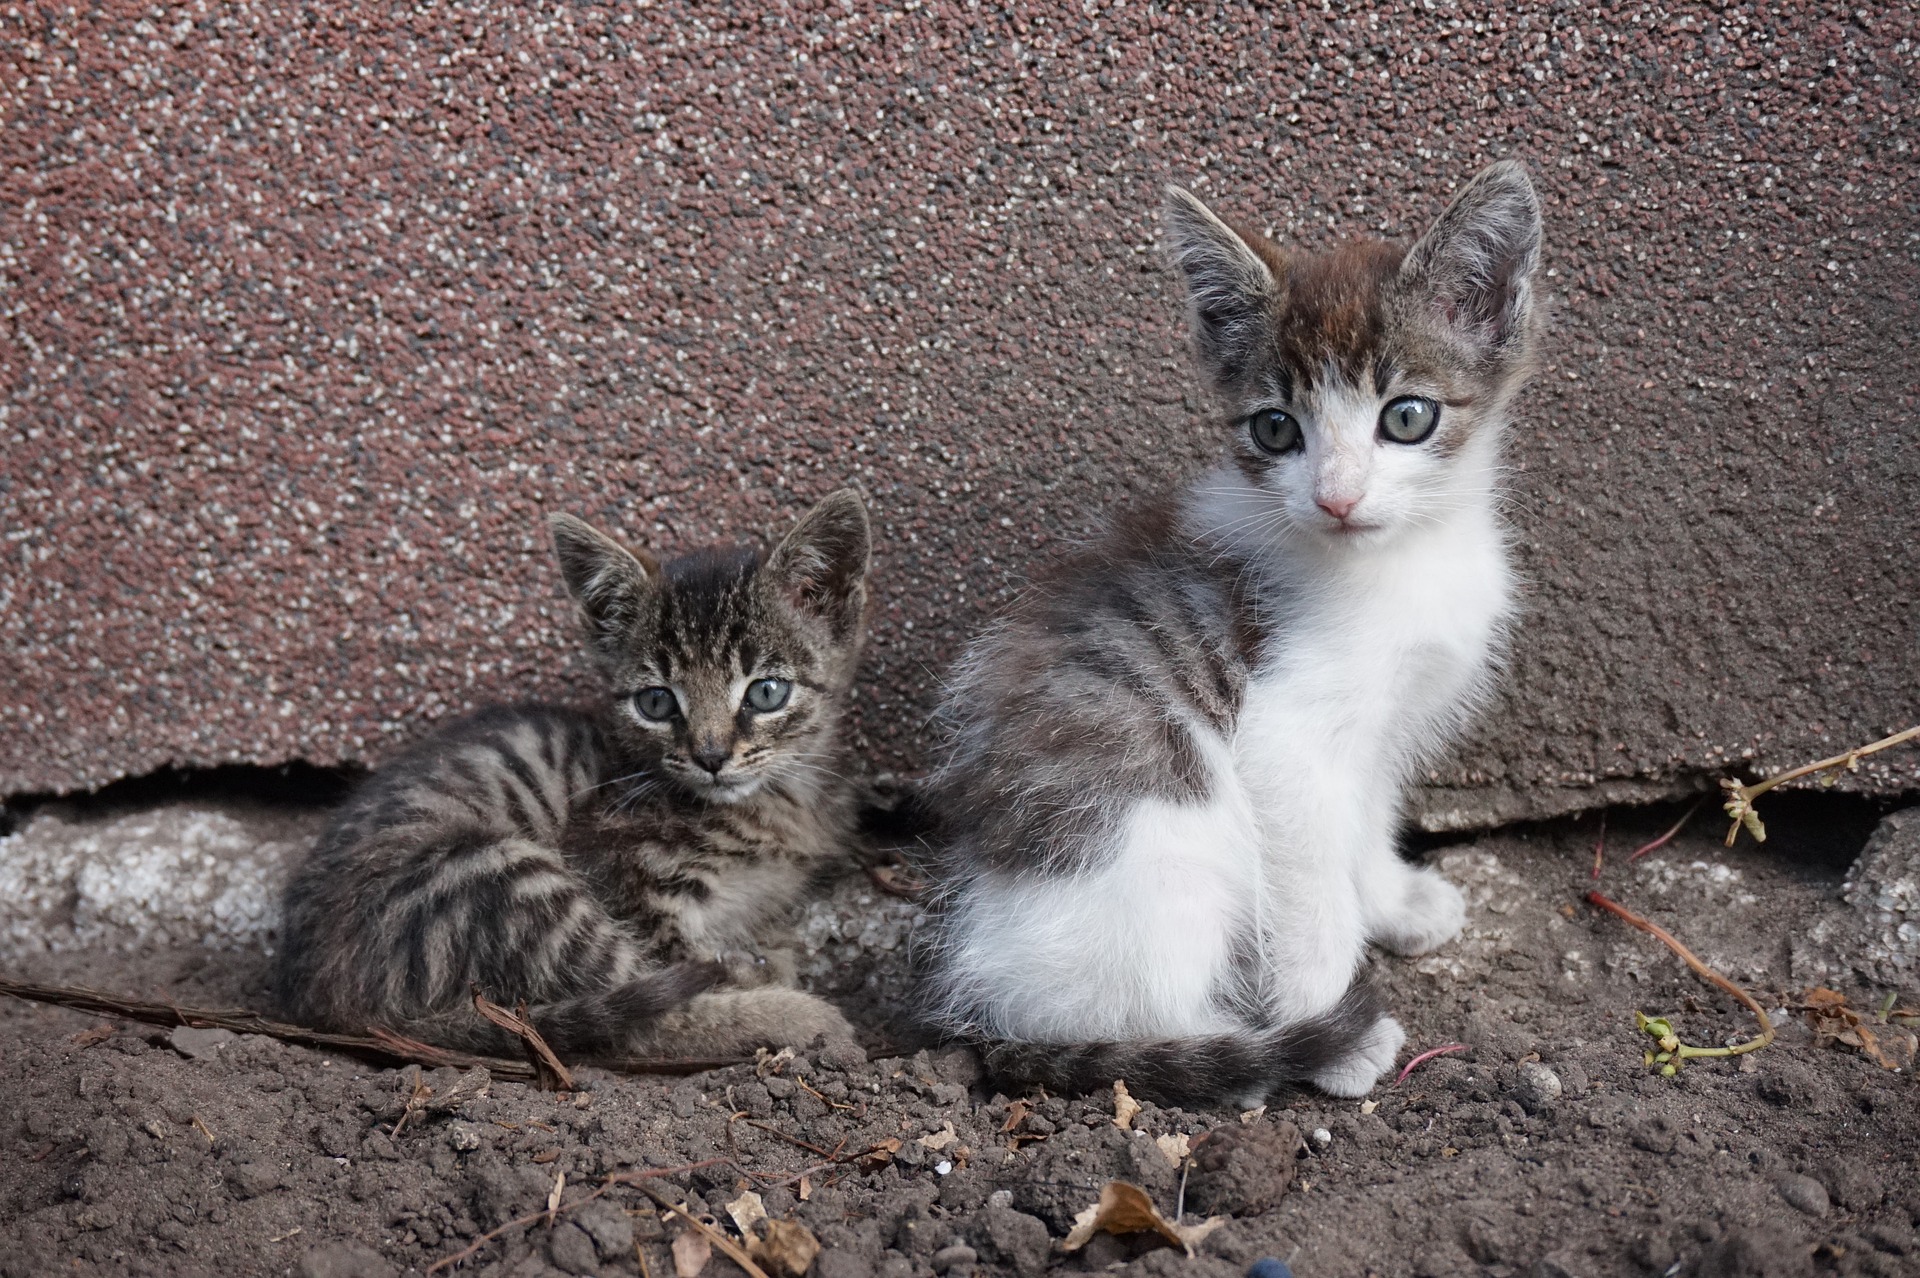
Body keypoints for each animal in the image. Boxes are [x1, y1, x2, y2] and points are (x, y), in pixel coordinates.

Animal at [274, 487, 875, 1051]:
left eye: (766, 692)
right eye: (656, 702)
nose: (710, 757)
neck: (776, 800)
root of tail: (319, 995)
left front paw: (767, 956)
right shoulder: (622, 871)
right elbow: (677, 971)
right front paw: (761, 978)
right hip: (497, 874)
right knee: (634, 1013)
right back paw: (801, 1017)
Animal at [917, 162, 1543, 1105]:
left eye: (1407, 417)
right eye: (1275, 427)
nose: (1336, 497)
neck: (1400, 559)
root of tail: (989, 999)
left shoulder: (1384, 726)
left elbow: (1365, 818)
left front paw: (1393, 901)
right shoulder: (1285, 739)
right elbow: (1311, 893)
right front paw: (1332, 1029)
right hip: (1166, 844)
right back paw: (1237, 1053)